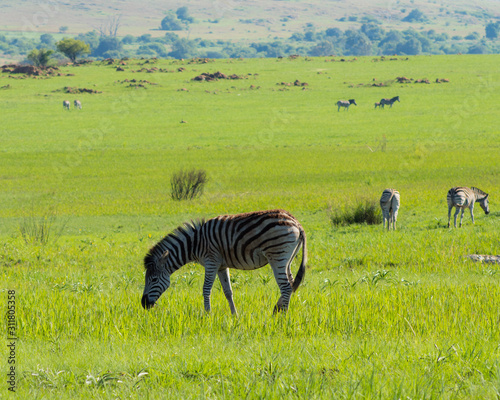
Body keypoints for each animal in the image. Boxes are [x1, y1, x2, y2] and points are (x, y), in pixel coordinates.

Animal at [139, 209, 306, 316]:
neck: (195, 243)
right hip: (287, 259)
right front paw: (234, 315)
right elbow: (228, 291)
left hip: (277, 256)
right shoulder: (221, 266)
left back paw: (281, 317)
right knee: (291, 283)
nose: (143, 304)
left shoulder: (211, 261)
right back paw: (277, 309)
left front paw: (207, 314)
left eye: (153, 279)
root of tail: (297, 223)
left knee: (285, 286)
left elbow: (206, 289)